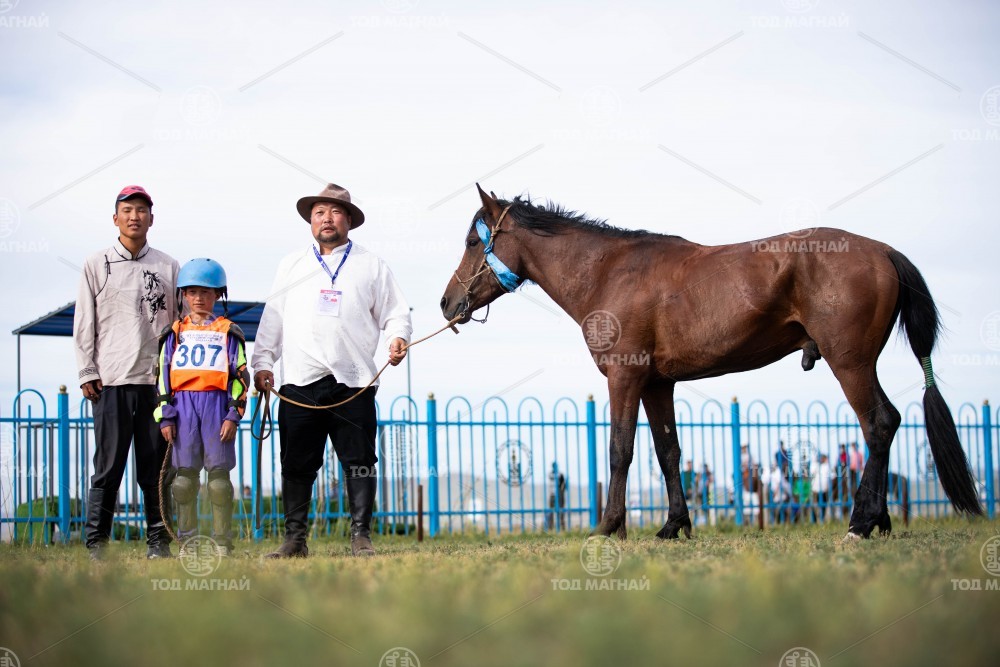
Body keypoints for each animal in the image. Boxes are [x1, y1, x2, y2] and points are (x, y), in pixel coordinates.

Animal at [439, 185, 983, 541]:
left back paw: (861, 522)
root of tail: (884, 250)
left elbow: (620, 451)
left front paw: (610, 527)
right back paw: (880, 520)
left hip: (850, 363)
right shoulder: (657, 385)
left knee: (879, 423)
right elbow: (667, 453)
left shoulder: (625, 377)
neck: (608, 271)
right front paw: (674, 525)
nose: (447, 303)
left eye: (472, 241)